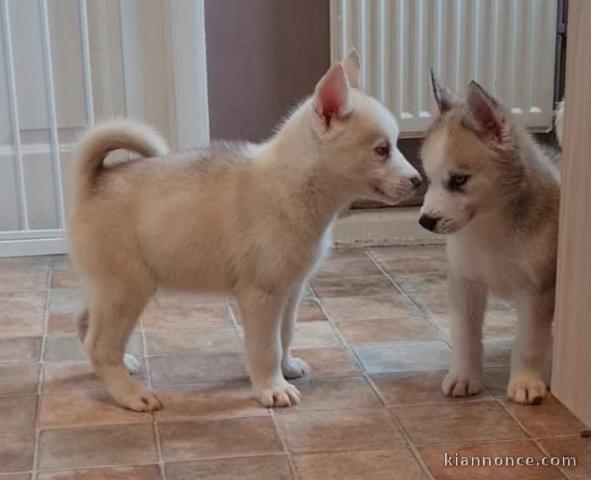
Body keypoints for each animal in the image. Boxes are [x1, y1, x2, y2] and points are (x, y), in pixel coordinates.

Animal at [68, 51, 420, 412]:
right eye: (382, 149)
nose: (418, 181)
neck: (290, 186)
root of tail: (96, 181)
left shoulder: (290, 291)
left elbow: (285, 336)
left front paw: (286, 369)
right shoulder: (262, 296)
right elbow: (266, 347)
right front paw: (272, 388)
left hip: (110, 289)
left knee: (85, 324)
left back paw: (122, 365)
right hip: (128, 289)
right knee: (100, 344)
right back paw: (129, 392)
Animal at [418, 74, 560, 404]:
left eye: (459, 180)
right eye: (429, 179)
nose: (425, 221)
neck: (489, 227)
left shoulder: (538, 291)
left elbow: (529, 341)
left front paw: (525, 381)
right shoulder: (465, 282)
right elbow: (465, 335)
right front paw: (464, 376)